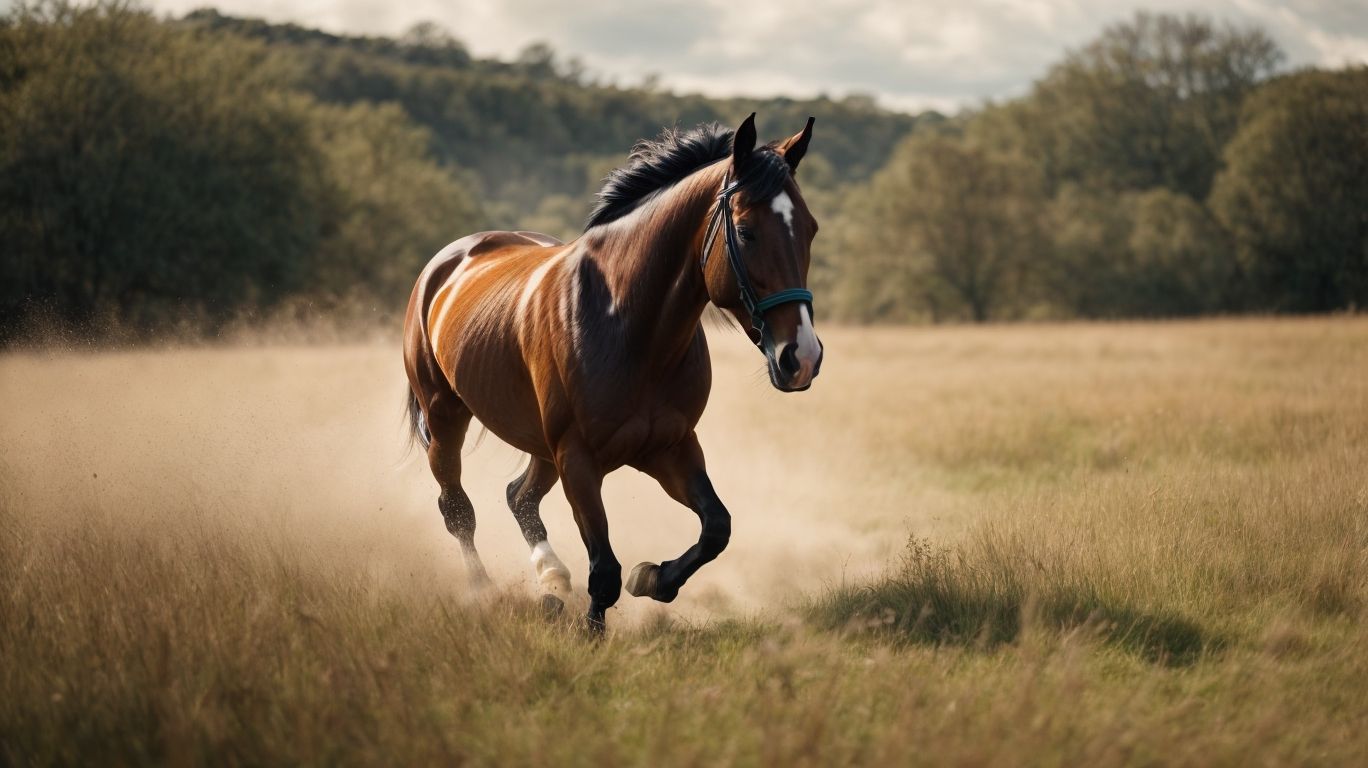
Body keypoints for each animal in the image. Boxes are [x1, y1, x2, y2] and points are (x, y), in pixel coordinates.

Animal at [402, 114, 823, 632]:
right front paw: (593, 632)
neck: (628, 327)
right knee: (458, 509)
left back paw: (551, 581)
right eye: (745, 232)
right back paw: (486, 591)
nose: (802, 357)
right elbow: (603, 570)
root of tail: (445, 265)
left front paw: (654, 579)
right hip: (446, 418)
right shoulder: (579, 461)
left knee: (520, 497)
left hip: (540, 445)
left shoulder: (669, 447)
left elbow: (716, 528)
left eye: (810, 229)